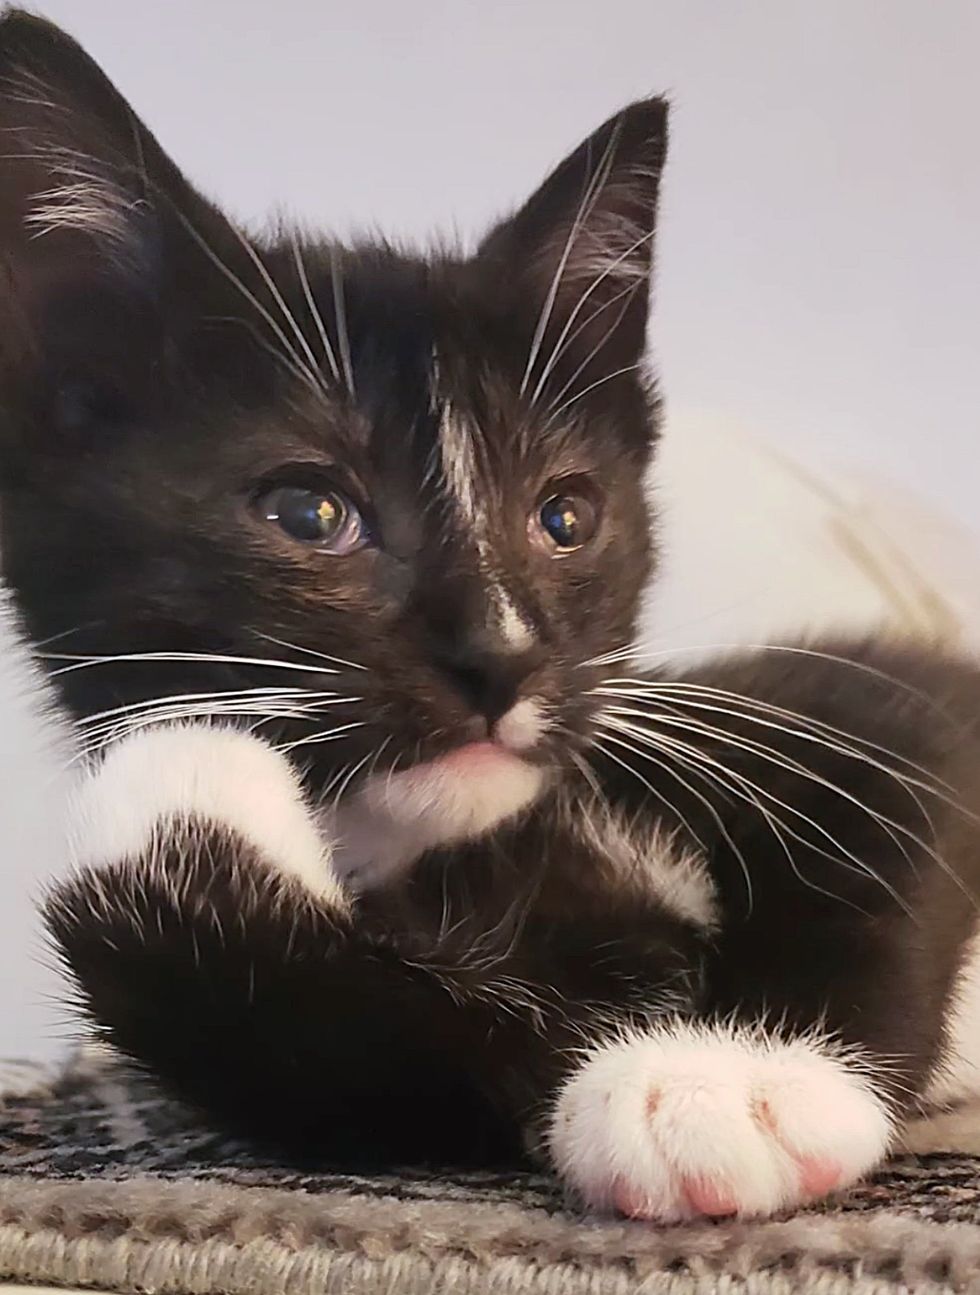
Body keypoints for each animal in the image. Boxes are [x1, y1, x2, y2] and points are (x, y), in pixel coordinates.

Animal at [1, 10, 978, 1222]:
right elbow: (374, 1067)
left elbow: (895, 804)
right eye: (307, 510)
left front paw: (736, 1074)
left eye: (565, 515)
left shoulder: (826, 700)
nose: (501, 659)